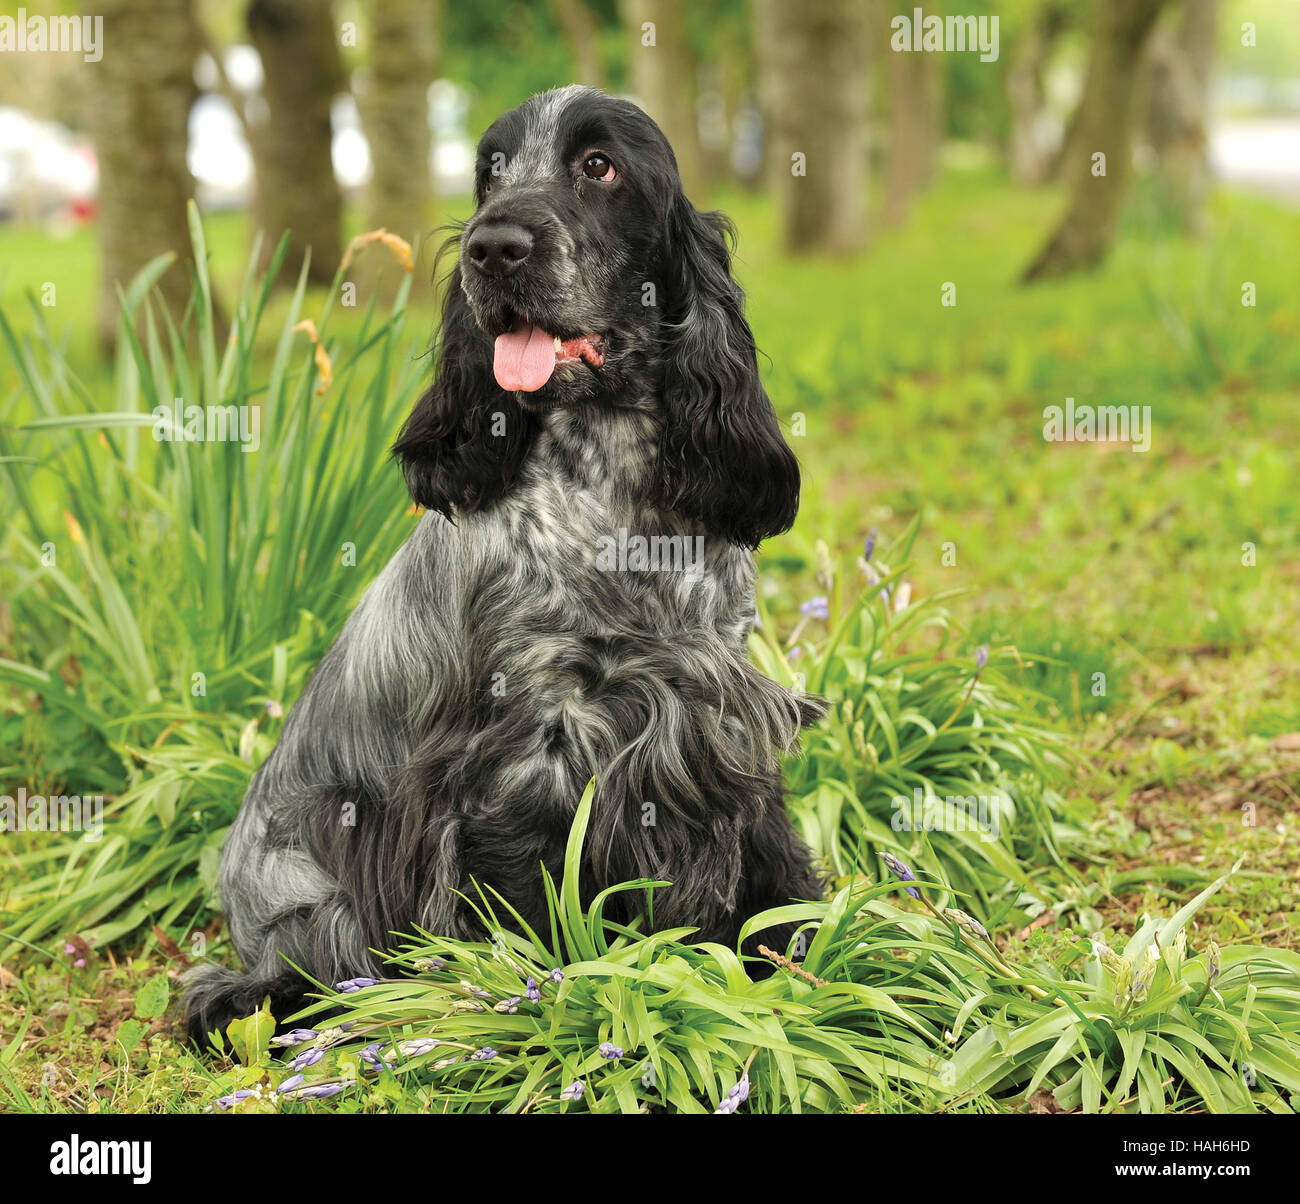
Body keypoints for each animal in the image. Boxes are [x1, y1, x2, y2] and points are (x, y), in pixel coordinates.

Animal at [184, 84, 826, 1045]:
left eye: (598, 166)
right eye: (489, 172)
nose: (492, 247)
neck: (614, 492)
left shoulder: (715, 713)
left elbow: (766, 860)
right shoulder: (524, 754)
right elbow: (533, 901)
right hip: (316, 886)